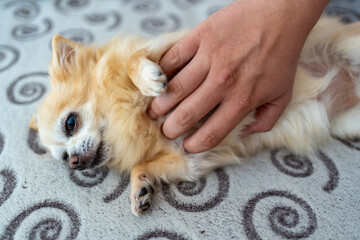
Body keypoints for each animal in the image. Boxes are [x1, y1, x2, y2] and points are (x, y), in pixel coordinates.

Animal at [31, 16, 360, 216]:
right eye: (63, 158)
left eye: (70, 123)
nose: (74, 163)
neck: (135, 120)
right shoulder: (189, 156)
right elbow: (143, 164)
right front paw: (140, 187)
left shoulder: (178, 50)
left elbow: (136, 58)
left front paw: (147, 80)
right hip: (348, 123)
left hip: (350, 47)